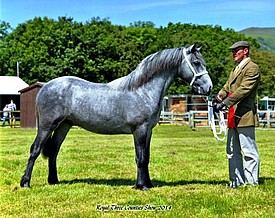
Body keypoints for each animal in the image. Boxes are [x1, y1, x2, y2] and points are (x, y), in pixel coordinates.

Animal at [21, 43, 213, 189]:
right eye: (196, 62)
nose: (208, 87)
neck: (142, 90)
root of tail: (45, 87)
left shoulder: (148, 131)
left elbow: (146, 157)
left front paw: (147, 184)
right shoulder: (139, 130)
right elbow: (141, 158)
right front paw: (141, 186)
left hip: (64, 125)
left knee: (53, 151)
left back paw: (54, 181)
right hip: (47, 126)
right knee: (35, 150)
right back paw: (25, 182)